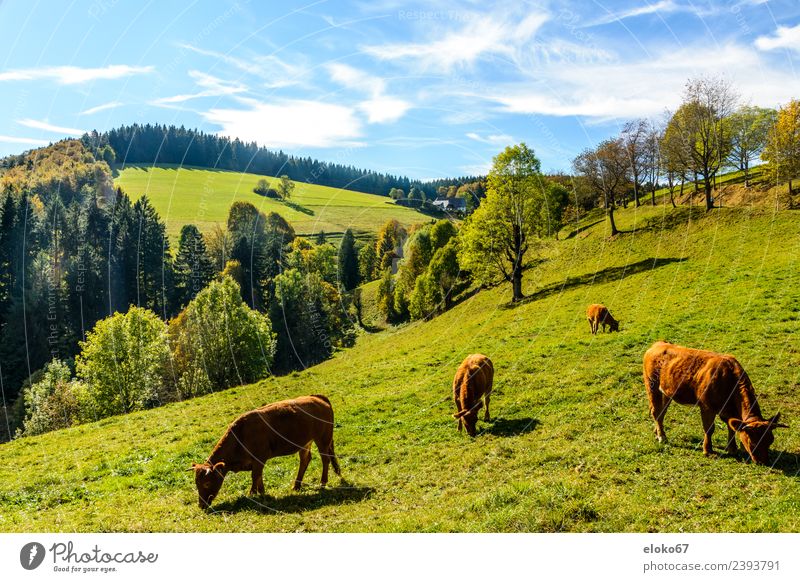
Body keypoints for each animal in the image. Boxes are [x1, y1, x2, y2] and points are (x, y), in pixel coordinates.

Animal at [195, 396, 344, 512]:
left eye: (207, 483)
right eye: (197, 484)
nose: (201, 505)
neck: (240, 435)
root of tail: (317, 397)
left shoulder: (259, 457)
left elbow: (255, 476)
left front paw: (252, 494)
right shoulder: (256, 461)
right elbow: (258, 476)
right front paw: (262, 493)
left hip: (322, 439)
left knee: (325, 459)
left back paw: (322, 482)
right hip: (306, 442)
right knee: (305, 460)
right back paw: (296, 485)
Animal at [644, 342, 788, 466]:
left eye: (770, 440)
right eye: (752, 442)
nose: (764, 462)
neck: (728, 379)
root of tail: (659, 344)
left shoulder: (729, 411)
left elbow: (731, 427)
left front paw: (732, 448)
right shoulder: (707, 407)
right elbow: (709, 428)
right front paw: (708, 450)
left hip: (667, 393)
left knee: (661, 413)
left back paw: (657, 432)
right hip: (652, 387)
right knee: (656, 412)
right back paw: (662, 437)